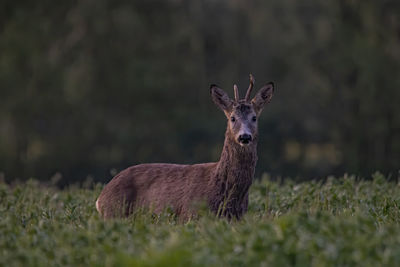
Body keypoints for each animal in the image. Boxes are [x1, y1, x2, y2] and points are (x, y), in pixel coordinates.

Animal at [95, 74, 274, 221]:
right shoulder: (190, 215)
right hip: (114, 213)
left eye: (254, 117)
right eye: (232, 118)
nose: (244, 137)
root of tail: (100, 198)